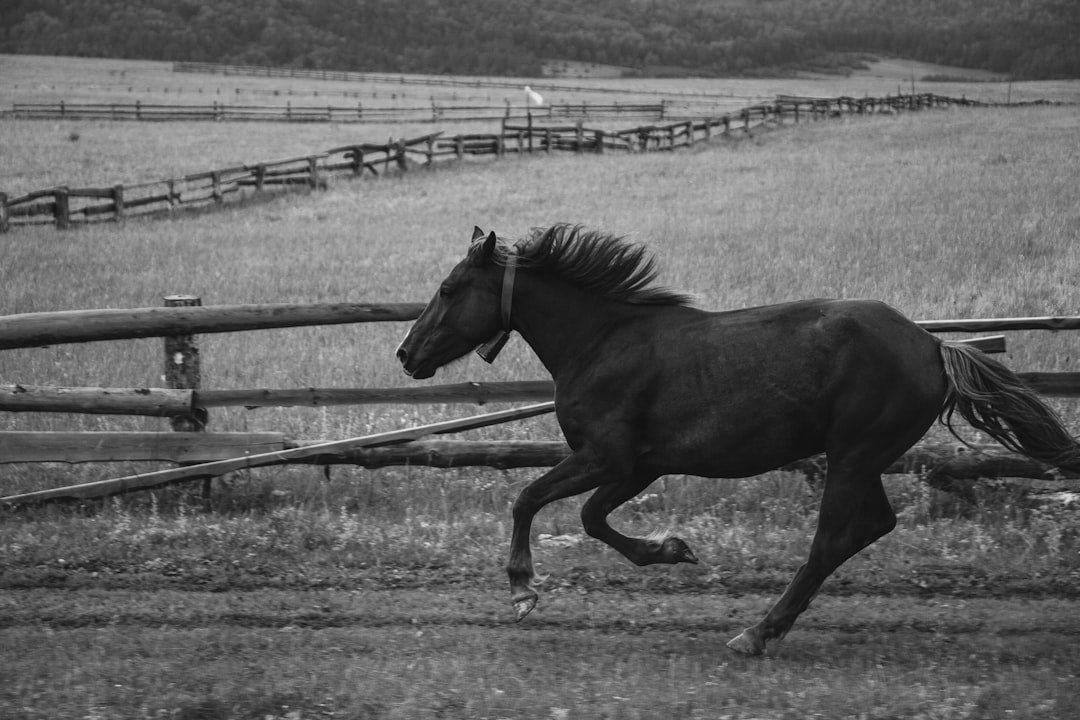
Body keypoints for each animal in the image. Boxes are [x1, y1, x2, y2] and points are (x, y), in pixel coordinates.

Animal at [396, 223, 1080, 655]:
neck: (603, 341)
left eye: (450, 289)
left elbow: (528, 499)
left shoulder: (605, 457)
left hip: (853, 455)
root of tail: (935, 346)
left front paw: (522, 590)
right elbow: (591, 518)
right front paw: (673, 550)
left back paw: (757, 634)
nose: (405, 355)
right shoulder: (636, 466)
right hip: (863, 459)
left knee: (833, 540)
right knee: (872, 527)